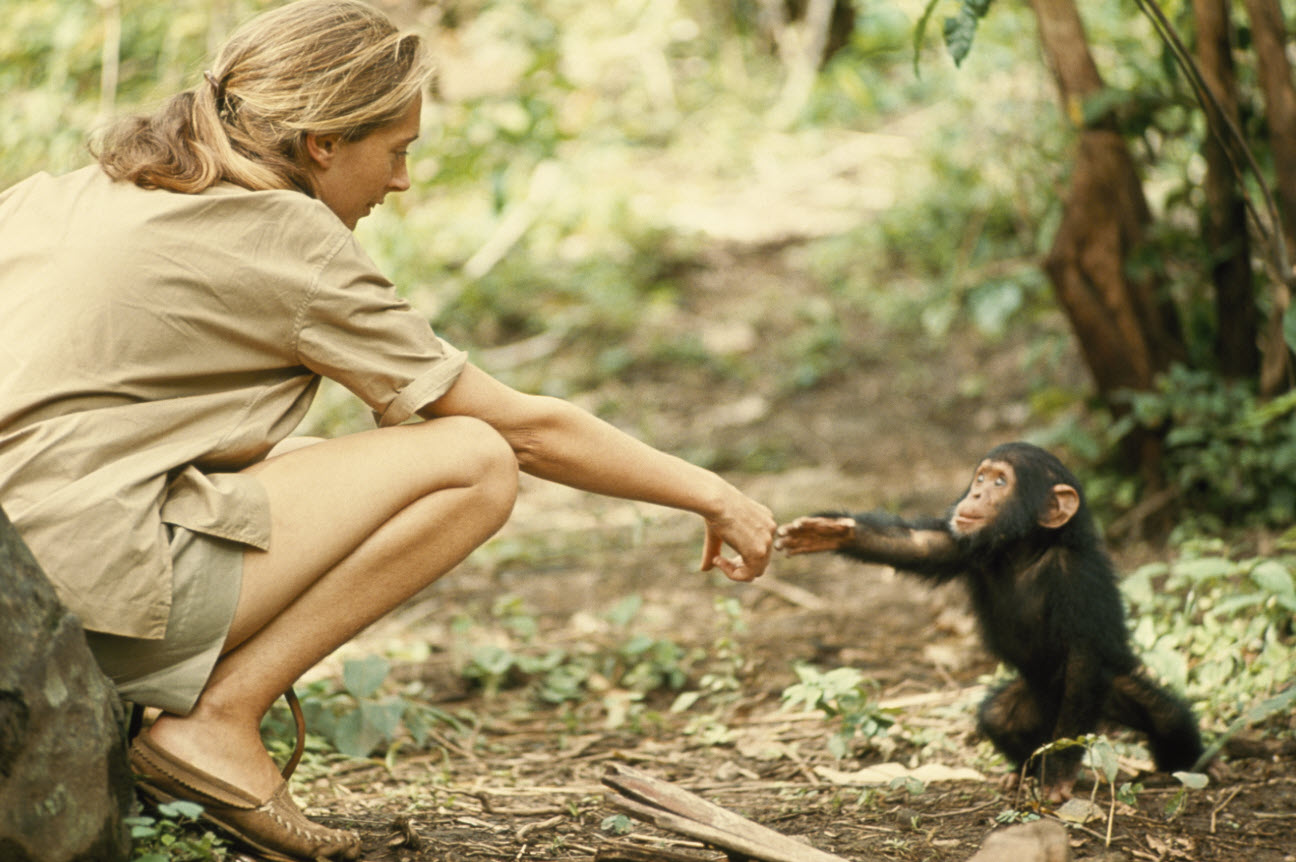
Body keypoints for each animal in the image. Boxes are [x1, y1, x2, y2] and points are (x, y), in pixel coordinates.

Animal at [775, 442, 1206, 802]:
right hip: (1034, 702)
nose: (977, 493)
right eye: (981, 477)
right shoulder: (962, 545)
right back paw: (1023, 770)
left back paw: (1196, 764)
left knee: (1166, 718)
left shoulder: (1078, 580)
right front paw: (829, 532)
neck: (1026, 550)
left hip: (1102, 695)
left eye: (1001, 482)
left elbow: (1083, 658)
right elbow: (916, 545)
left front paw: (1060, 772)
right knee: (999, 718)